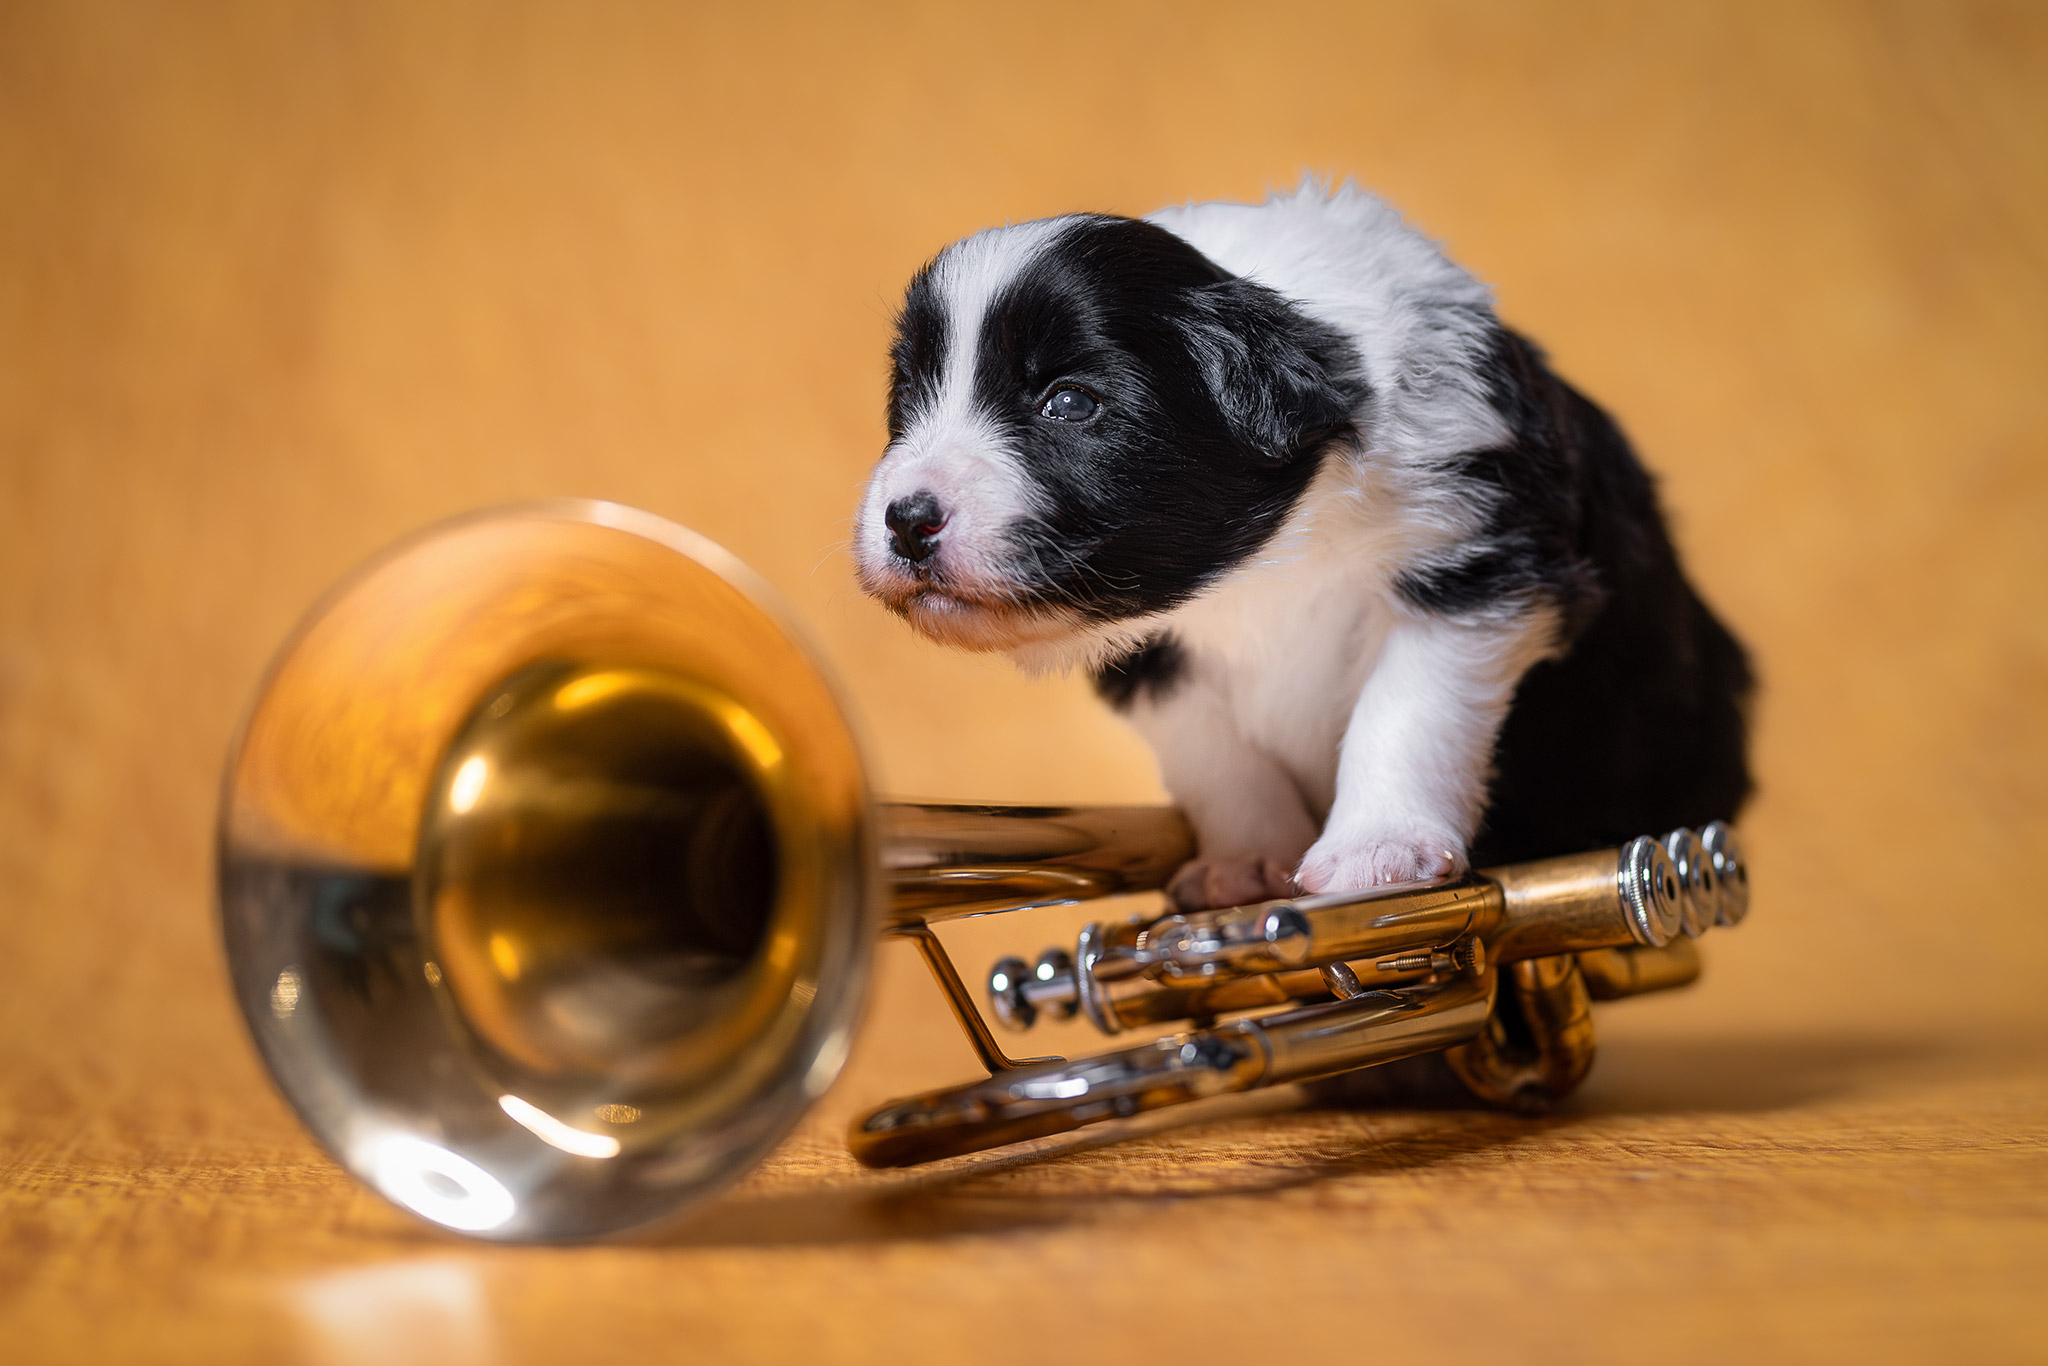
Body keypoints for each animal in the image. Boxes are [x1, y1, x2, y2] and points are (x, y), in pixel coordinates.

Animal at [847, 179, 1744, 909]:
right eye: (909, 399)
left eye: (1068, 401)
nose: (908, 519)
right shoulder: (1148, 651)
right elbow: (1212, 751)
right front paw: (1246, 865)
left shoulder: (1483, 559)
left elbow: (1407, 706)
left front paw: (1378, 852)